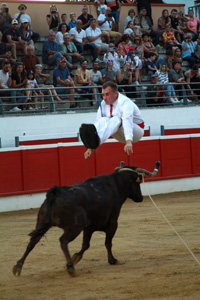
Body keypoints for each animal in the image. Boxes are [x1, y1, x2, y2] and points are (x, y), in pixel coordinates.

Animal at [12, 162, 160, 276]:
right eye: (138, 183)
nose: (140, 198)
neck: (116, 185)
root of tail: (55, 193)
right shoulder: (112, 224)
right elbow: (107, 243)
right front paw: (112, 260)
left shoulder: (89, 227)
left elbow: (86, 244)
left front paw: (76, 257)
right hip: (74, 227)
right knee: (63, 241)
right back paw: (70, 268)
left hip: (42, 223)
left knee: (33, 241)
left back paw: (18, 266)